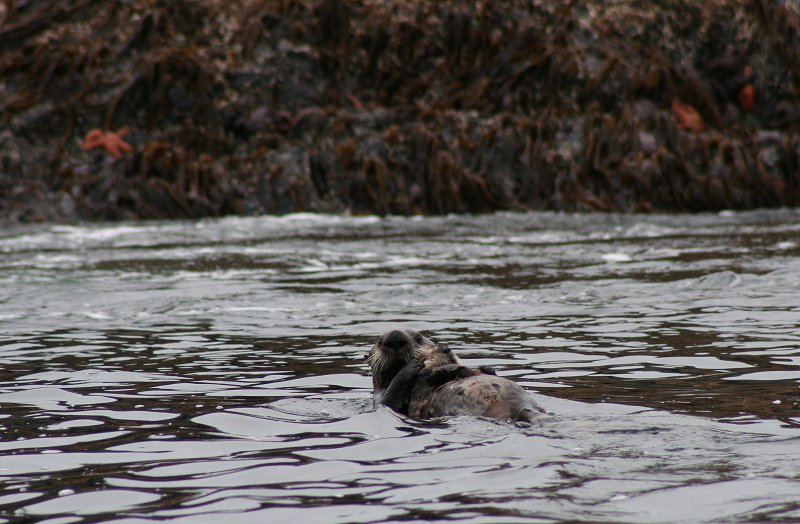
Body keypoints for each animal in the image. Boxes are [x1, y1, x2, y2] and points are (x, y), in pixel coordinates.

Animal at [366, 329, 545, 423]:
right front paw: (414, 368)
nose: (395, 337)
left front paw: (485, 368)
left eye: (418, 337)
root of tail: (521, 409)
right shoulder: (383, 401)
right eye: (379, 342)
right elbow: (392, 400)